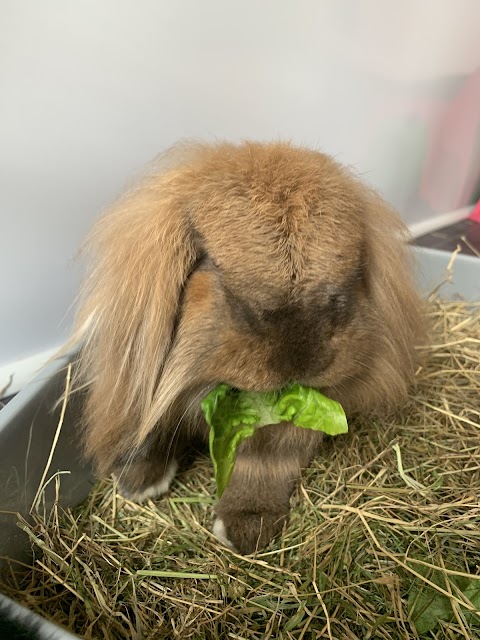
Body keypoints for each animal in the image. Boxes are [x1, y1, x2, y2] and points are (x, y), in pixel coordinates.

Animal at [68, 141, 424, 556]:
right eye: (210, 263)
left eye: (353, 274)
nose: (300, 356)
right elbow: (148, 428)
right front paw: (138, 483)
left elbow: (264, 461)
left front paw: (246, 528)